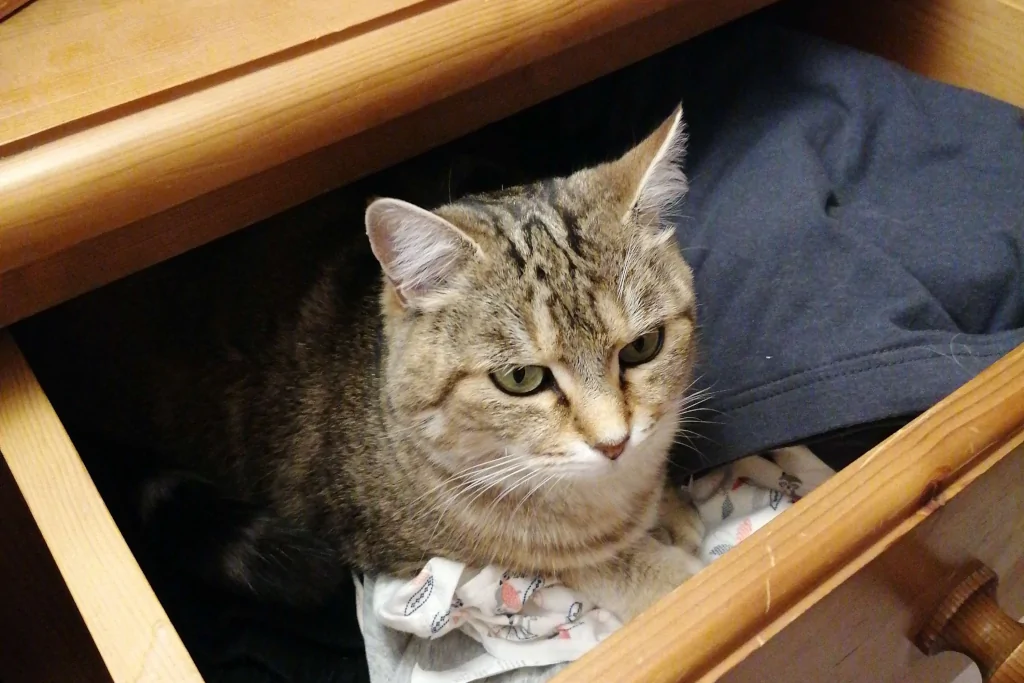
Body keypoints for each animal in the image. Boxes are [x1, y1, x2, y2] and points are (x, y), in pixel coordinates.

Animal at [28, 104, 704, 622]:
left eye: (642, 347)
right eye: (521, 379)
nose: (614, 443)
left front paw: (673, 506)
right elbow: (590, 562)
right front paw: (668, 567)